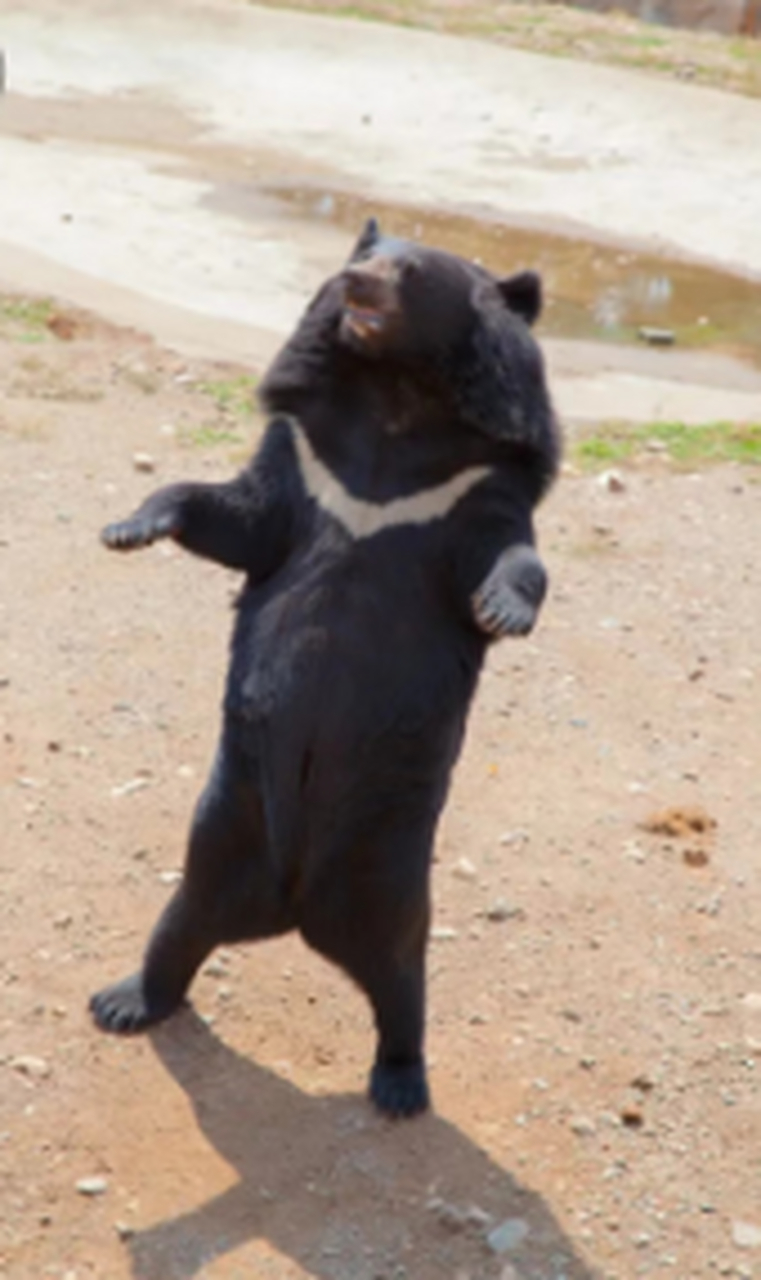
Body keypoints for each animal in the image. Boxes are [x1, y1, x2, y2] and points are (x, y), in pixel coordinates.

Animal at [92, 222, 562, 1121]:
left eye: (407, 271)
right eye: (362, 256)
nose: (355, 284)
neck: (395, 396)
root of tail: (294, 904)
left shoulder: (474, 485)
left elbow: (509, 553)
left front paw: (502, 610)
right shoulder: (307, 457)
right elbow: (232, 515)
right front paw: (125, 528)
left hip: (390, 866)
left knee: (402, 979)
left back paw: (400, 1082)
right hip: (224, 826)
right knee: (180, 922)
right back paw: (125, 1001)